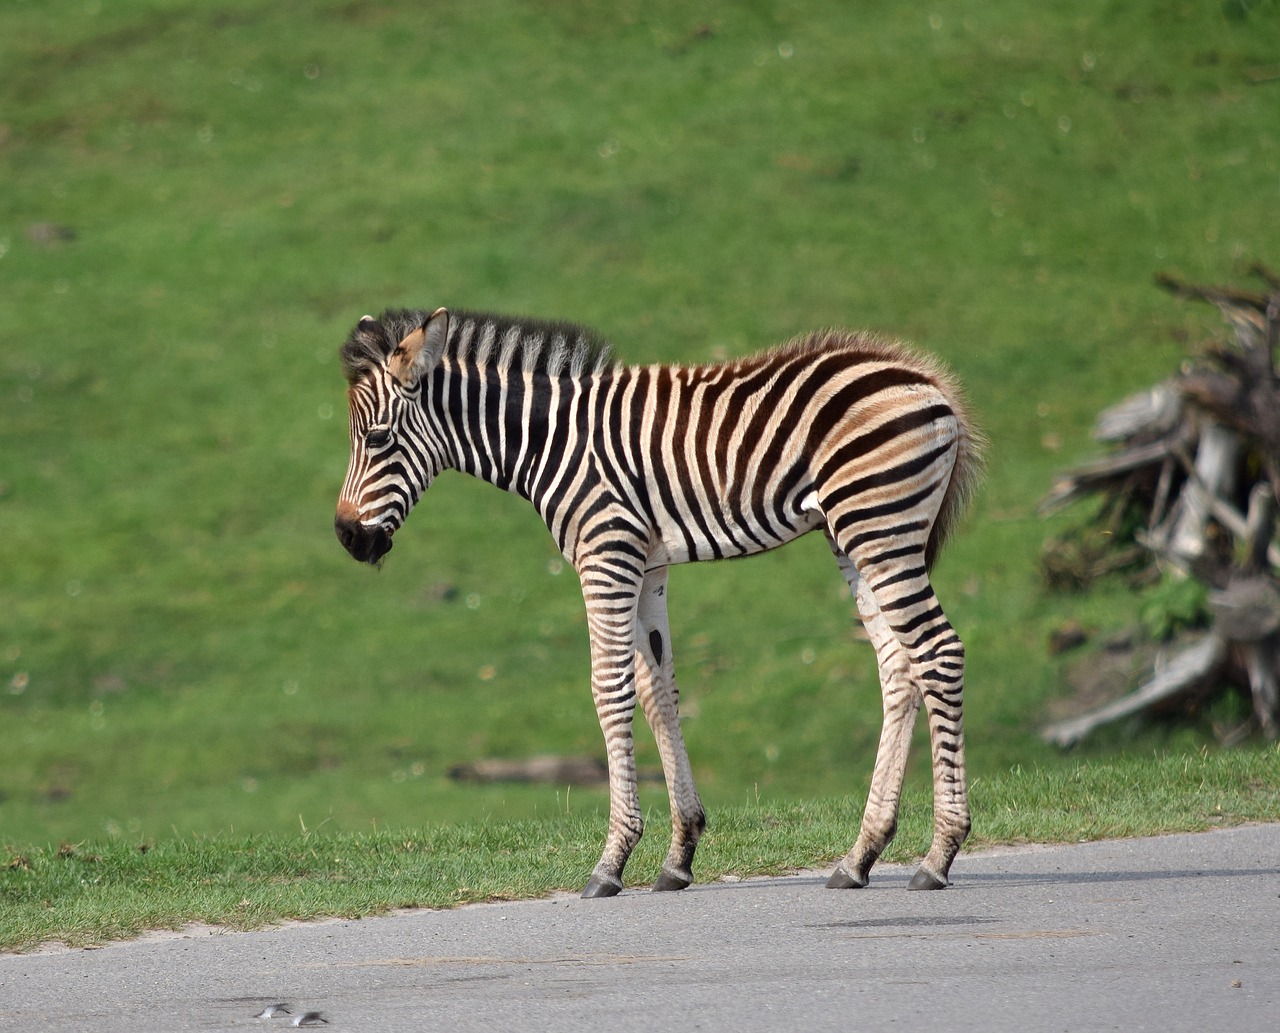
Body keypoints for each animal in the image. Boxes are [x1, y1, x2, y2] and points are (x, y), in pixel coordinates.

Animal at [335, 304, 983, 896]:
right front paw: (680, 855)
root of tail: (930, 380)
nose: (346, 537)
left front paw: (611, 861)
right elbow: (657, 693)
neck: (549, 440)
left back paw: (939, 855)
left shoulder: (607, 554)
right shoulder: (647, 566)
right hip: (853, 534)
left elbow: (610, 691)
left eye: (377, 438)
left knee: (939, 652)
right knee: (898, 665)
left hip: (879, 523)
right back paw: (860, 856)